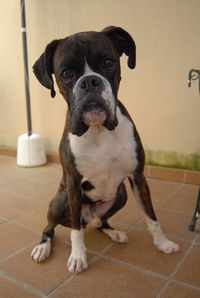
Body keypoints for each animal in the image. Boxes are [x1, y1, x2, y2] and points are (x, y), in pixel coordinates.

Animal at [31, 26, 180, 274]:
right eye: (66, 73)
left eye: (109, 63)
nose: (90, 81)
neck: (99, 130)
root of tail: (88, 218)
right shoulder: (73, 183)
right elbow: (75, 232)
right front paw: (78, 257)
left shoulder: (137, 177)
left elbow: (151, 216)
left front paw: (162, 243)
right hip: (60, 201)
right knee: (54, 227)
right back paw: (43, 247)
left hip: (121, 194)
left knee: (101, 222)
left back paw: (114, 232)